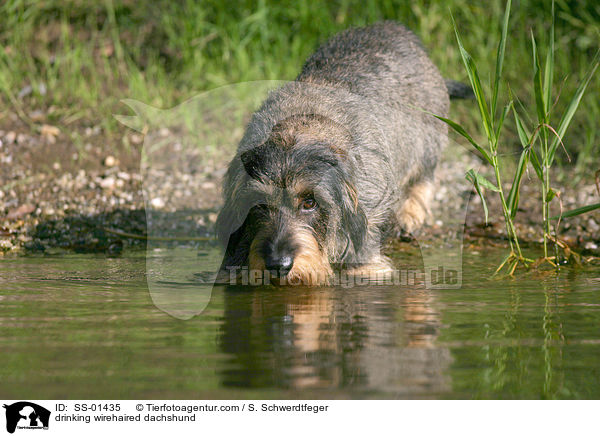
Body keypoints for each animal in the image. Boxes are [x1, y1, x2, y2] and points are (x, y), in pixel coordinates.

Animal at [216, 21, 468, 286]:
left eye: (310, 202)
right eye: (258, 204)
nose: (278, 265)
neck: (300, 130)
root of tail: (397, 29)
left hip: (427, 146)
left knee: (423, 179)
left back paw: (410, 215)